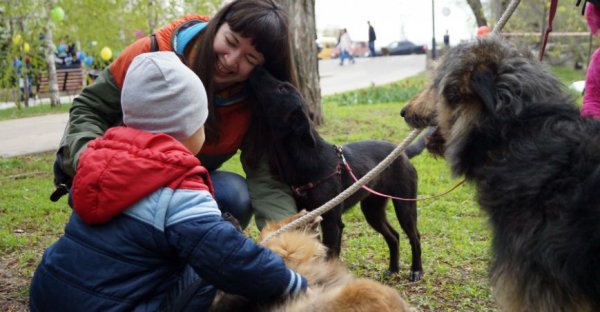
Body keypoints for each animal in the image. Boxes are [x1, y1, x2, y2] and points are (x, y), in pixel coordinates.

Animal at [247, 66, 422, 280]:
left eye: (282, 88)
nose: (257, 68)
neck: (307, 156)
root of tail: (403, 153)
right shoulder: (308, 218)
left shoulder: (332, 223)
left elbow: (329, 255)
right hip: (372, 209)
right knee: (394, 236)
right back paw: (393, 269)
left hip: (404, 205)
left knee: (414, 236)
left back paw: (416, 270)